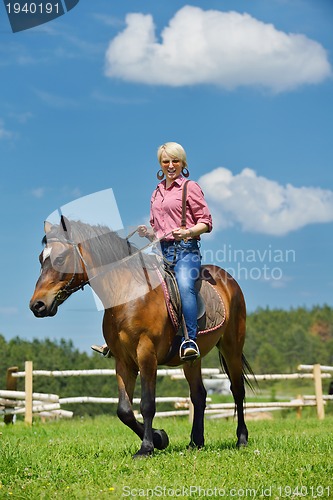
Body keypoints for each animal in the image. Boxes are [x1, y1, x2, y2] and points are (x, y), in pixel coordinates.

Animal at [29, 218, 252, 458]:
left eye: (60, 259)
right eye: (40, 258)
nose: (37, 305)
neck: (127, 295)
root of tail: (227, 280)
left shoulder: (146, 354)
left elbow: (147, 404)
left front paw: (146, 447)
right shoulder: (123, 361)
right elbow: (124, 410)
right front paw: (160, 437)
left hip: (231, 348)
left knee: (237, 391)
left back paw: (241, 439)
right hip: (192, 359)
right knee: (199, 395)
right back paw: (196, 442)